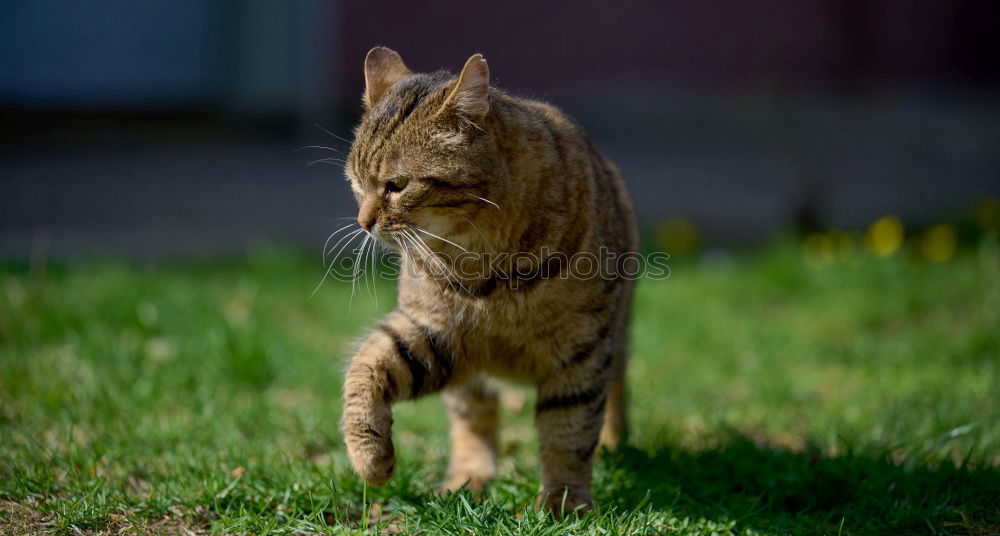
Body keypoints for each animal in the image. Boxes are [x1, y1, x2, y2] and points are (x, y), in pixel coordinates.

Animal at [340, 47, 636, 516]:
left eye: (397, 185)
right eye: (355, 183)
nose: (362, 222)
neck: (484, 267)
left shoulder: (581, 351)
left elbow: (568, 434)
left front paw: (563, 502)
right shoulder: (432, 332)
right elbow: (365, 368)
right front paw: (371, 459)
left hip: (616, 337)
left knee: (616, 390)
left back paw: (614, 445)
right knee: (473, 420)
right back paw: (468, 479)